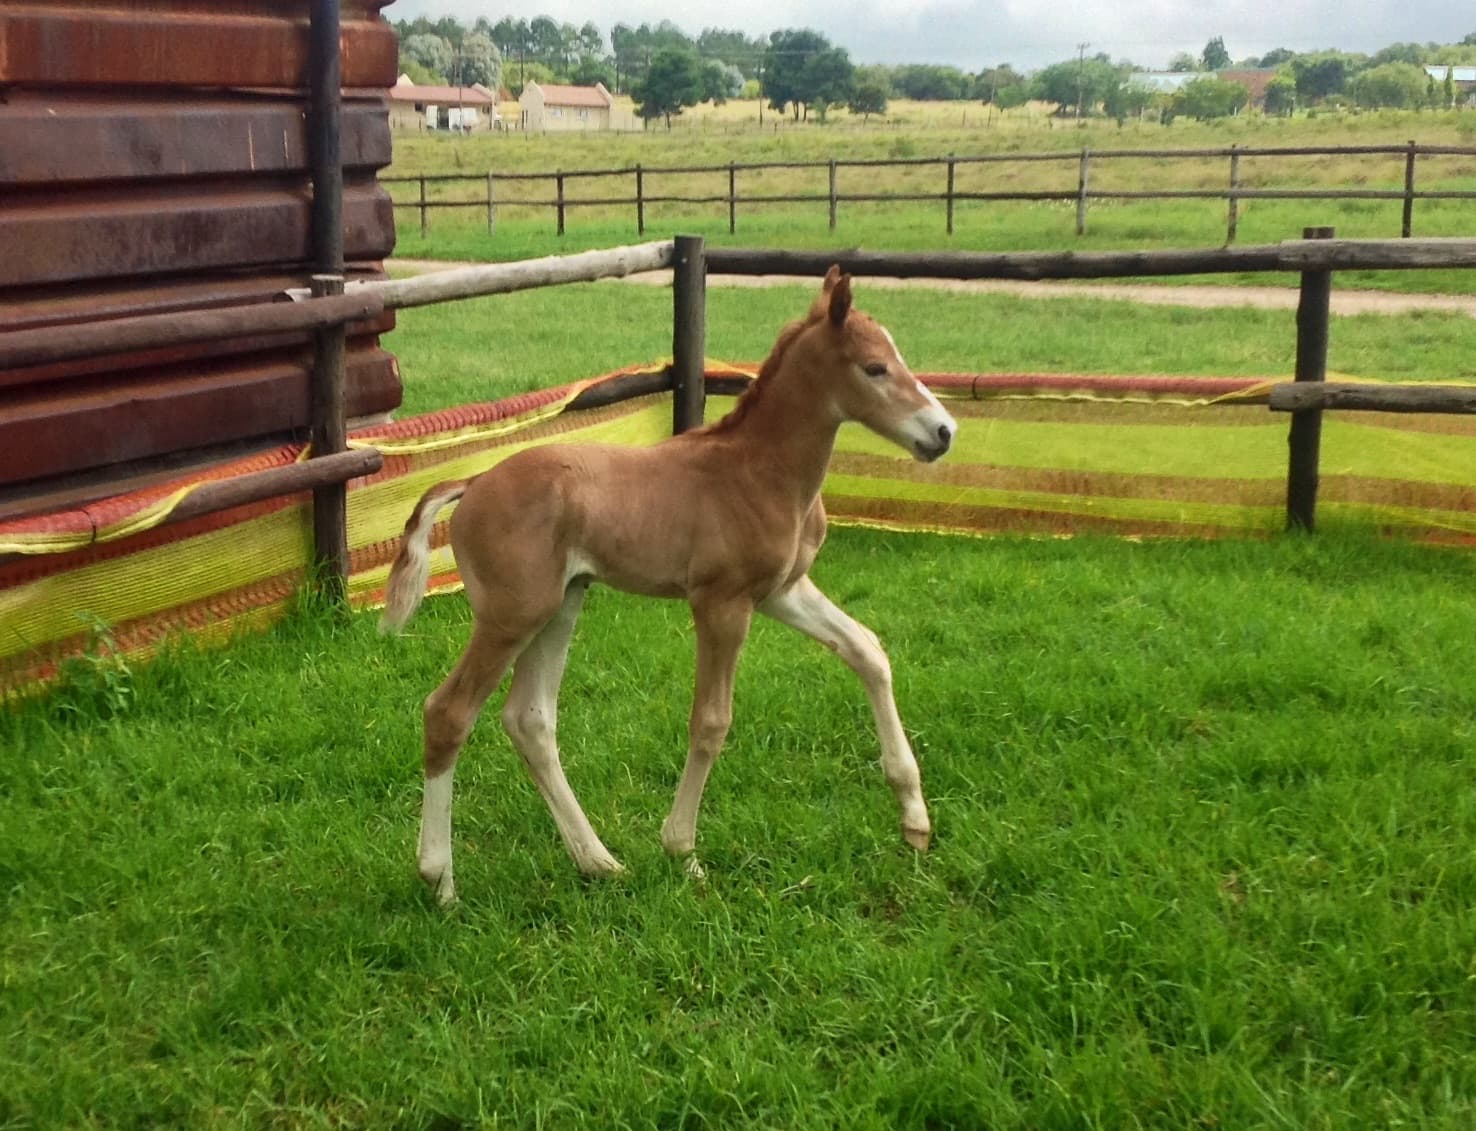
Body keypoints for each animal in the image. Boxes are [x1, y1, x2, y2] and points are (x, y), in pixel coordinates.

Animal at [381, 267, 957, 904]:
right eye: (875, 368)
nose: (943, 432)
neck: (760, 470)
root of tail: (473, 481)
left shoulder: (783, 591)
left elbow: (868, 651)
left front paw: (914, 820)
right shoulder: (721, 603)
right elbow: (710, 721)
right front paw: (682, 851)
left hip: (561, 605)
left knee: (529, 719)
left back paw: (599, 862)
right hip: (512, 615)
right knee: (449, 712)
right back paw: (441, 880)